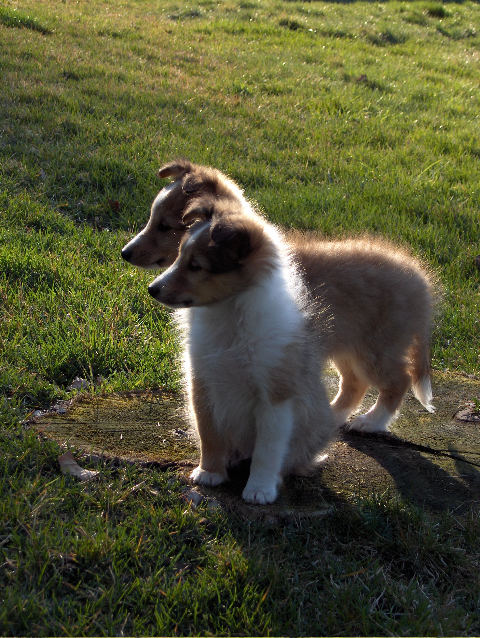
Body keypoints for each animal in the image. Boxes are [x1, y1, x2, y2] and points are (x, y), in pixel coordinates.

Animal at [122, 162, 436, 438]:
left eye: (165, 226)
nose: (125, 252)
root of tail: (419, 279)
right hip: (347, 343)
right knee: (355, 383)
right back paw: (332, 418)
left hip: (376, 346)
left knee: (398, 380)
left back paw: (371, 422)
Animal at [148, 195, 336, 504]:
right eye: (179, 256)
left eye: (196, 266)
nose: (153, 289)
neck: (229, 315)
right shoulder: (203, 383)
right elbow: (209, 434)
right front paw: (209, 473)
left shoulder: (274, 398)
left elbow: (267, 450)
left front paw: (260, 489)